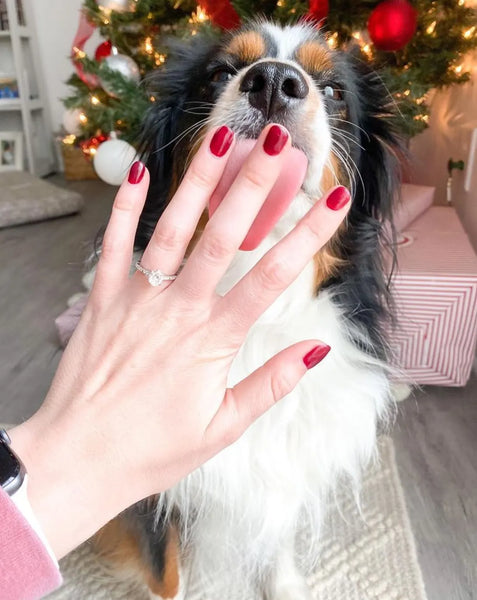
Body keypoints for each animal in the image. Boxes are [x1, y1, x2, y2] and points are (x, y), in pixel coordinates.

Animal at [93, 18, 402, 600]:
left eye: (334, 91)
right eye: (219, 74)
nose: (275, 81)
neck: (251, 301)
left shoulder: (285, 471)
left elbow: (276, 544)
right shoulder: (152, 492)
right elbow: (170, 576)